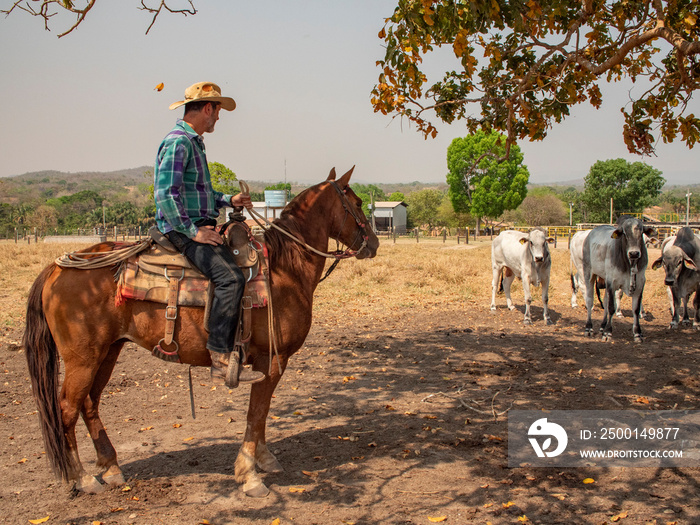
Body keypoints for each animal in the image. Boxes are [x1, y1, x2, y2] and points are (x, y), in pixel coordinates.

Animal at [24, 167, 380, 496]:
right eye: (358, 203)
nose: (373, 243)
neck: (284, 269)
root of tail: (56, 268)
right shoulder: (270, 360)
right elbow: (257, 412)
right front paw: (249, 473)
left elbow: (261, 415)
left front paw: (264, 459)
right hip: (83, 358)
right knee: (66, 409)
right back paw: (81, 478)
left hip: (107, 352)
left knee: (89, 404)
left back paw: (110, 467)